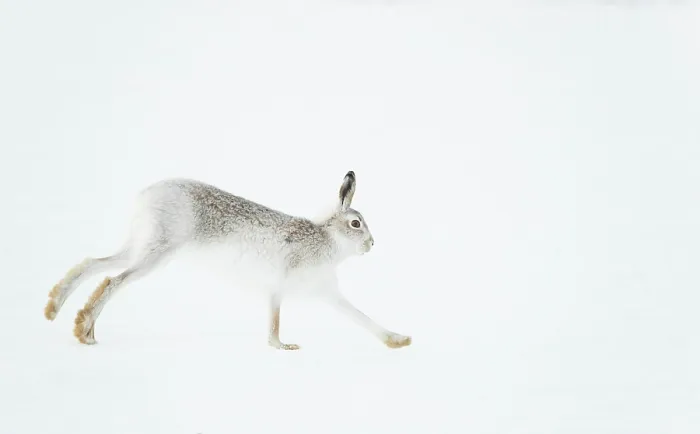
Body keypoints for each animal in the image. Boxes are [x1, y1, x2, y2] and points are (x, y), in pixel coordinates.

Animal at [43, 171, 412, 350]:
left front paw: (397, 341)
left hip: (142, 245)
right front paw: (282, 346)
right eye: (356, 224)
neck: (327, 238)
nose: (372, 244)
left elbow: (360, 317)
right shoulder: (281, 285)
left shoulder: (326, 292)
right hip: (158, 251)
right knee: (113, 280)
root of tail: (145, 197)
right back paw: (85, 332)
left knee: (94, 263)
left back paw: (55, 308)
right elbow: (276, 319)